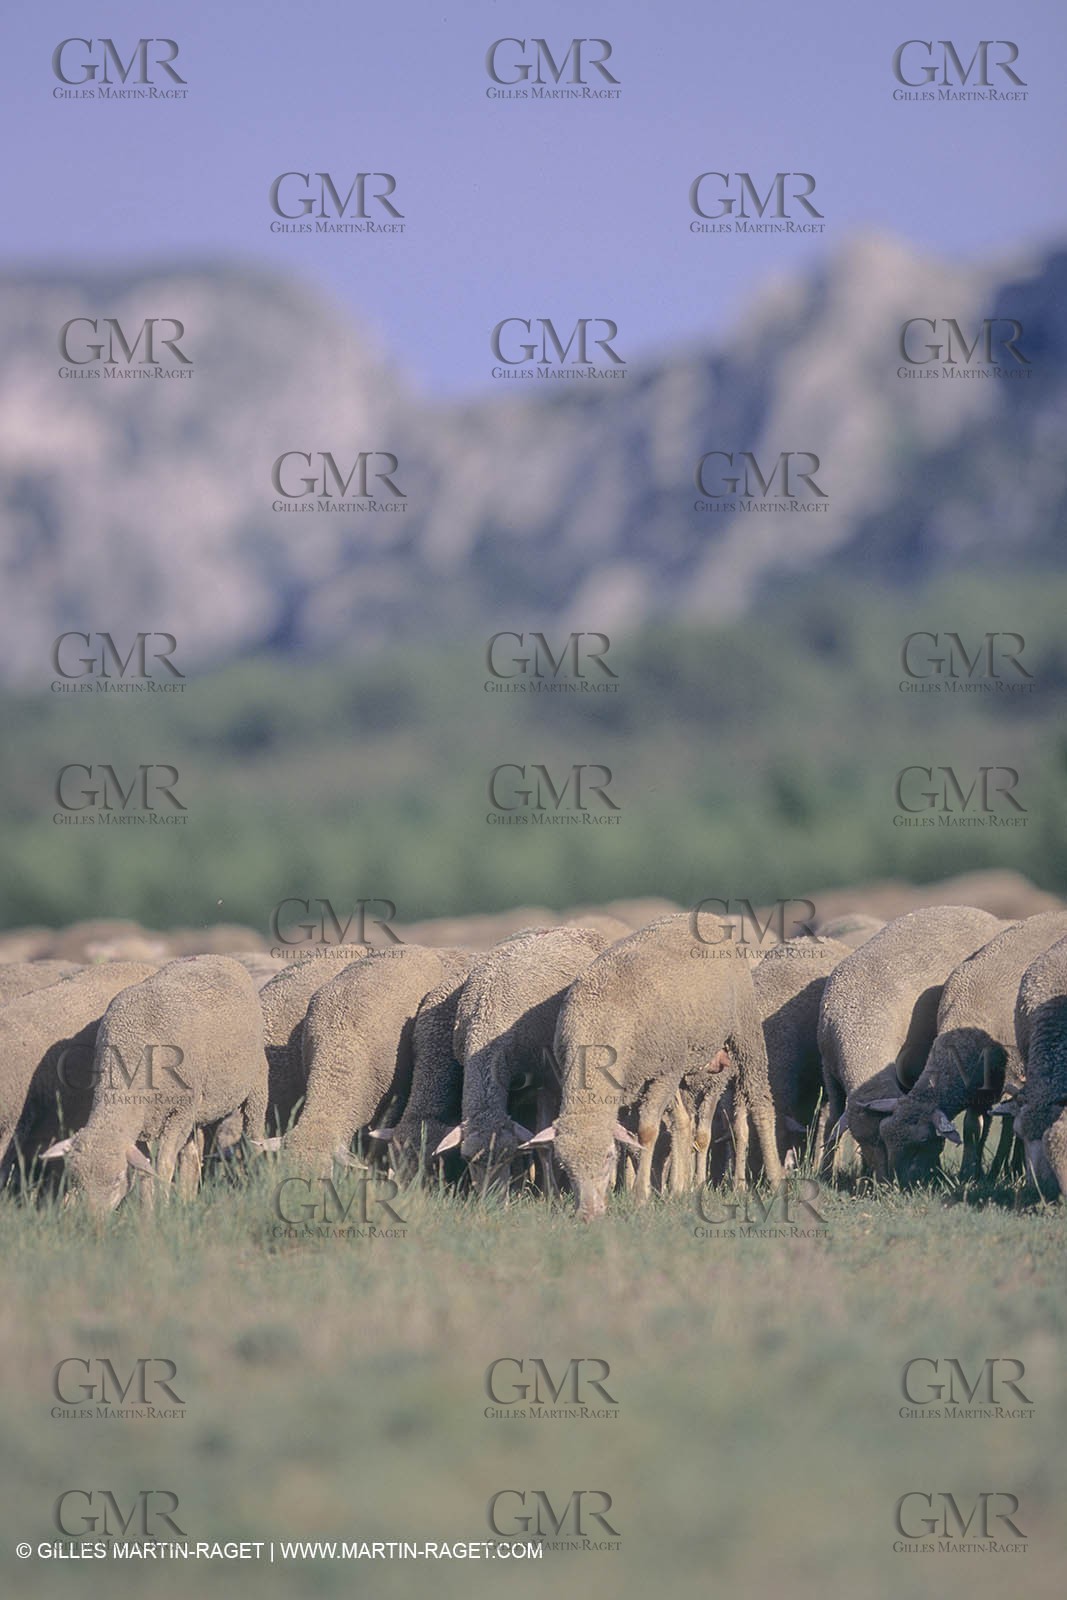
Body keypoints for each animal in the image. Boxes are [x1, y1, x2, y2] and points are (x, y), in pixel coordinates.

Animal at [59, 956, 268, 1212]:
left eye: (117, 1179)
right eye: (76, 1179)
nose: (92, 1218)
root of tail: (221, 958)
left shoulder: (180, 1111)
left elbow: (164, 1163)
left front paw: (163, 1207)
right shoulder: (140, 1121)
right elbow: (145, 1170)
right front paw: (147, 1211)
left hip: (256, 1083)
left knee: (254, 1137)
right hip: (200, 1109)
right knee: (192, 1154)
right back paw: (188, 1200)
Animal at [525, 912, 782, 1219]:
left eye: (608, 1158)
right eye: (565, 1164)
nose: (588, 1215)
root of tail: (705, 917)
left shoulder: (664, 1073)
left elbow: (646, 1132)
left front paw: (640, 1197)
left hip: (743, 1027)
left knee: (760, 1100)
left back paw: (776, 1180)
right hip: (683, 1062)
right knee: (683, 1120)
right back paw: (679, 1189)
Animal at [818, 906, 1004, 1180]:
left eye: (882, 1141)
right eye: (862, 1141)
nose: (884, 1181)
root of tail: (980, 912)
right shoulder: (830, 1074)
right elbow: (831, 1123)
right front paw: (825, 1174)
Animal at [874, 913, 1067, 1186]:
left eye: (923, 1140)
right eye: (884, 1135)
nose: (892, 1186)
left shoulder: (1002, 1079)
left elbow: (987, 1125)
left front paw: (980, 1173)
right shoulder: (979, 1087)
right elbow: (974, 1126)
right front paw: (972, 1172)